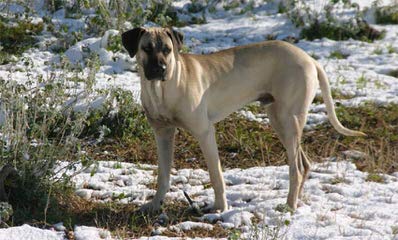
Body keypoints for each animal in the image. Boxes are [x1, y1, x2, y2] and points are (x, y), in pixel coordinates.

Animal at [120, 27, 364, 213]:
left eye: (167, 50)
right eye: (147, 48)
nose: (160, 69)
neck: (161, 89)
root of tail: (310, 59)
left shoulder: (204, 132)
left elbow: (216, 175)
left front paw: (220, 208)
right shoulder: (163, 133)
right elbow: (163, 174)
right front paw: (154, 205)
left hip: (288, 120)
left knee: (295, 168)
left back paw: (289, 206)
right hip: (279, 119)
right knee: (304, 164)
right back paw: (296, 202)